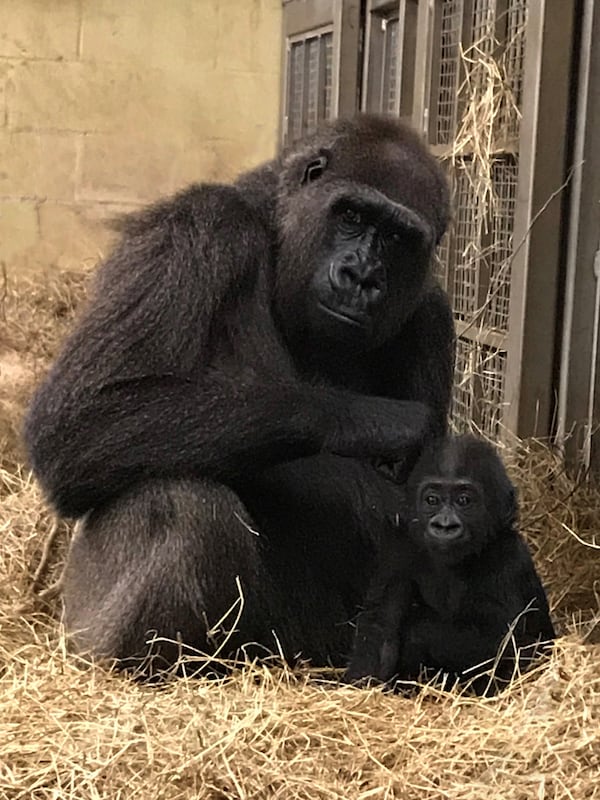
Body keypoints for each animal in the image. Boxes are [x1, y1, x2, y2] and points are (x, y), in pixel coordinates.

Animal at [24, 114, 454, 676]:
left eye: (399, 238)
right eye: (352, 215)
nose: (361, 276)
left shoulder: (433, 316)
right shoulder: (198, 225)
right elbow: (82, 420)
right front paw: (371, 434)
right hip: (92, 620)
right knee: (183, 500)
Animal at [344, 432, 556, 692]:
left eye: (464, 500)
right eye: (432, 500)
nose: (445, 525)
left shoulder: (509, 559)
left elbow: (499, 640)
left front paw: (416, 630)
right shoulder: (398, 550)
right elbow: (378, 627)